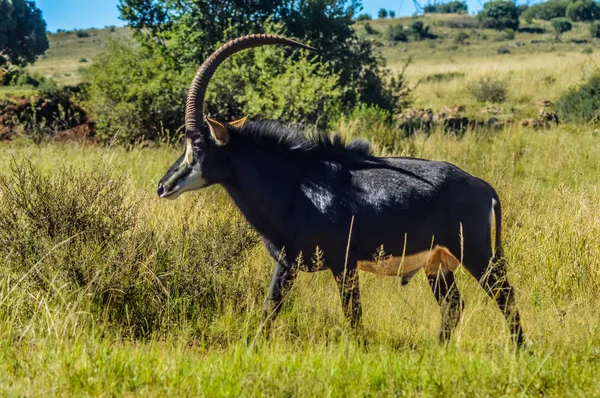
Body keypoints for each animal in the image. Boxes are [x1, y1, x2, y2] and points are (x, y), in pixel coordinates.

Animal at [156, 34, 524, 346]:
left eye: (197, 146)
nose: (163, 185)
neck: (297, 186)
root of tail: (483, 188)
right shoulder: (287, 265)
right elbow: (269, 310)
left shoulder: (342, 263)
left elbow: (353, 315)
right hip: (438, 264)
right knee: (453, 305)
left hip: (477, 254)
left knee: (505, 296)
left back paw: (521, 352)